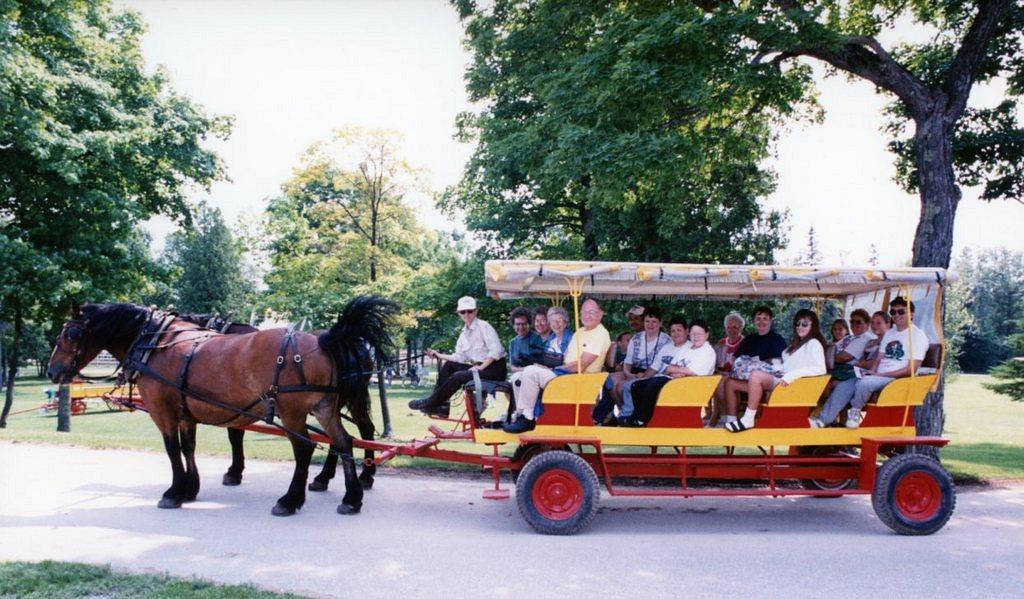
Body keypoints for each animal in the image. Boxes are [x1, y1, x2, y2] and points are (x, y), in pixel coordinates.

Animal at [178, 313, 378, 491]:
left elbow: (235, 435)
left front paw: (234, 472)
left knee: (346, 435)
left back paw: (335, 477)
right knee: (359, 430)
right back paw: (353, 476)